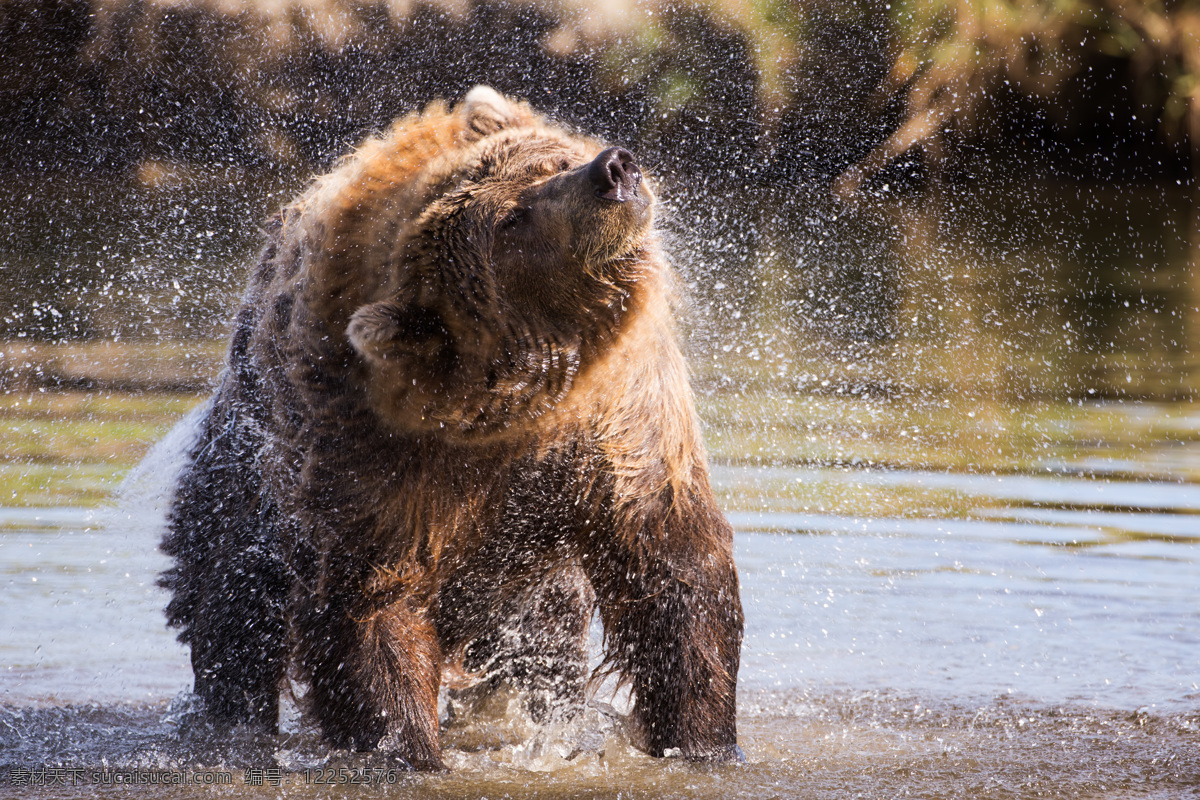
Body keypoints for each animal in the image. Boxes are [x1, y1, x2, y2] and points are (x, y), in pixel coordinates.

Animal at [159, 86, 739, 767]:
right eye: (511, 220)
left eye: (552, 160)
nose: (612, 169)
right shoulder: (378, 457)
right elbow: (372, 606)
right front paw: (404, 749)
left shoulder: (622, 423)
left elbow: (674, 567)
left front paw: (701, 738)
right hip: (249, 464)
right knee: (233, 595)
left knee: (544, 638)